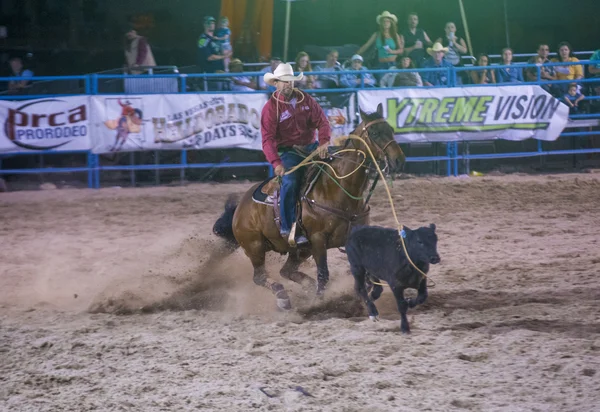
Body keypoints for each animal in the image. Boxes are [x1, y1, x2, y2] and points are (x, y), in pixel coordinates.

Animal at [213, 103, 406, 308]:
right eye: (375, 133)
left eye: (391, 130)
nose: (399, 160)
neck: (339, 189)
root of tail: (240, 208)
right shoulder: (318, 239)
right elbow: (323, 274)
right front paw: (318, 303)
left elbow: (365, 272)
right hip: (255, 247)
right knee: (259, 277)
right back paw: (283, 297)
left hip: (299, 250)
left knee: (286, 271)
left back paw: (305, 289)